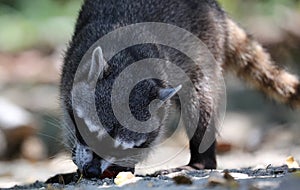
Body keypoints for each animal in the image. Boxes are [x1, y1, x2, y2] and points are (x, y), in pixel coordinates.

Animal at [59, 0, 298, 178]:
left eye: (121, 148)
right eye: (92, 133)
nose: (91, 171)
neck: (128, 64)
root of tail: (217, 11)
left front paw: (123, 166)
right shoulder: (71, 68)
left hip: (205, 48)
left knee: (200, 100)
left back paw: (202, 162)